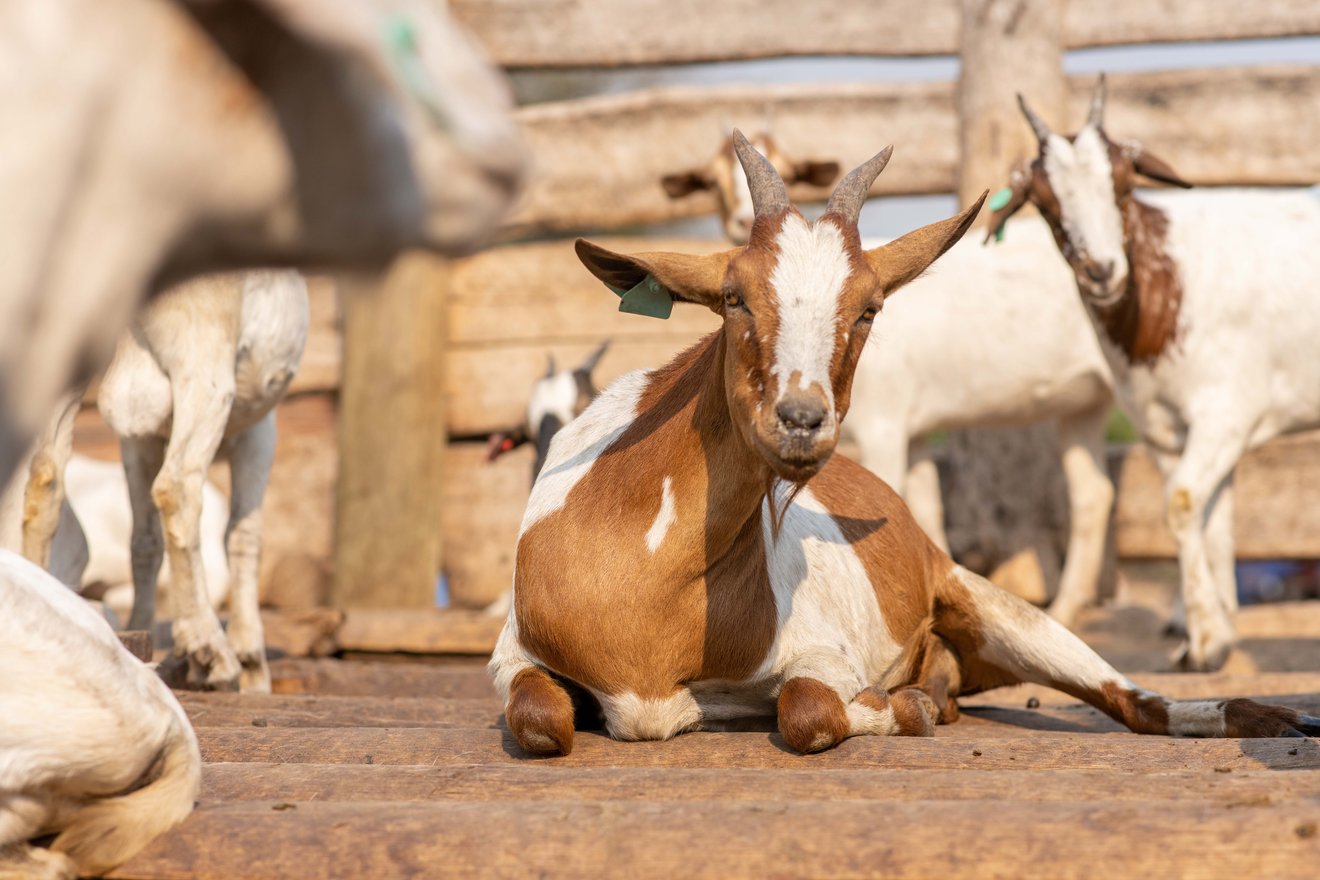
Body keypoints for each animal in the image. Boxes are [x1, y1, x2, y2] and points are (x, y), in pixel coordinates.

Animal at [23, 271, 308, 691]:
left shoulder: (139, 440)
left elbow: (145, 542)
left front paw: (141, 633)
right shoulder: (259, 431)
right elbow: (244, 534)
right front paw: (250, 659)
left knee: (45, 478)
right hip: (203, 366)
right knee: (178, 488)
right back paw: (212, 652)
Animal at [665, 129, 1119, 625]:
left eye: (792, 171)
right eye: (712, 183)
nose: (742, 220)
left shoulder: (884, 424)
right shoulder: (914, 430)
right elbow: (925, 509)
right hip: (1086, 404)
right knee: (1094, 493)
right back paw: (1068, 605)